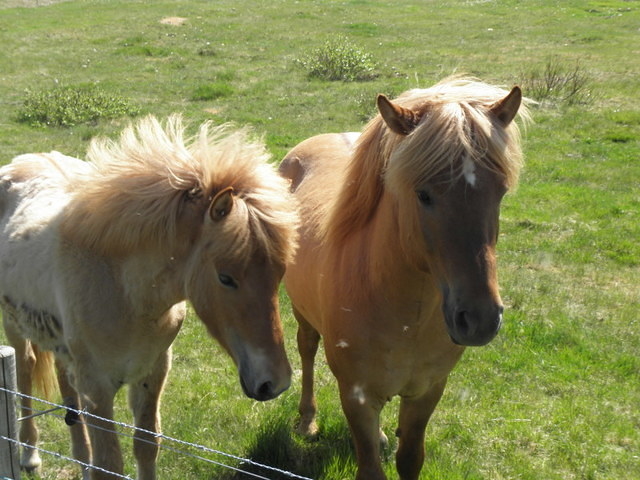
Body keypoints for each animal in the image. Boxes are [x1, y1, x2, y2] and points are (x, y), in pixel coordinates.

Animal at [0, 115, 298, 480]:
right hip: (13, 325)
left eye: (280, 273)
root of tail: (23, 161)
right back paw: (29, 453)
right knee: (25, 369)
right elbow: (108, 464)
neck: (124, 291)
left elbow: (146, 444)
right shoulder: (98, 387)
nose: (276, 382)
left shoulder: (152, 371)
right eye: (226, 278)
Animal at [279, 77, 528, 479]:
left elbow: (410, 458)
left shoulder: (426, 391)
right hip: (303, 315)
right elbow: (370, 468)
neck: (408, 315)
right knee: (306, 349)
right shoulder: (357, 395)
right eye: (423, 195)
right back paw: (307, 421)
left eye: (501, 192)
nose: (480, 320)